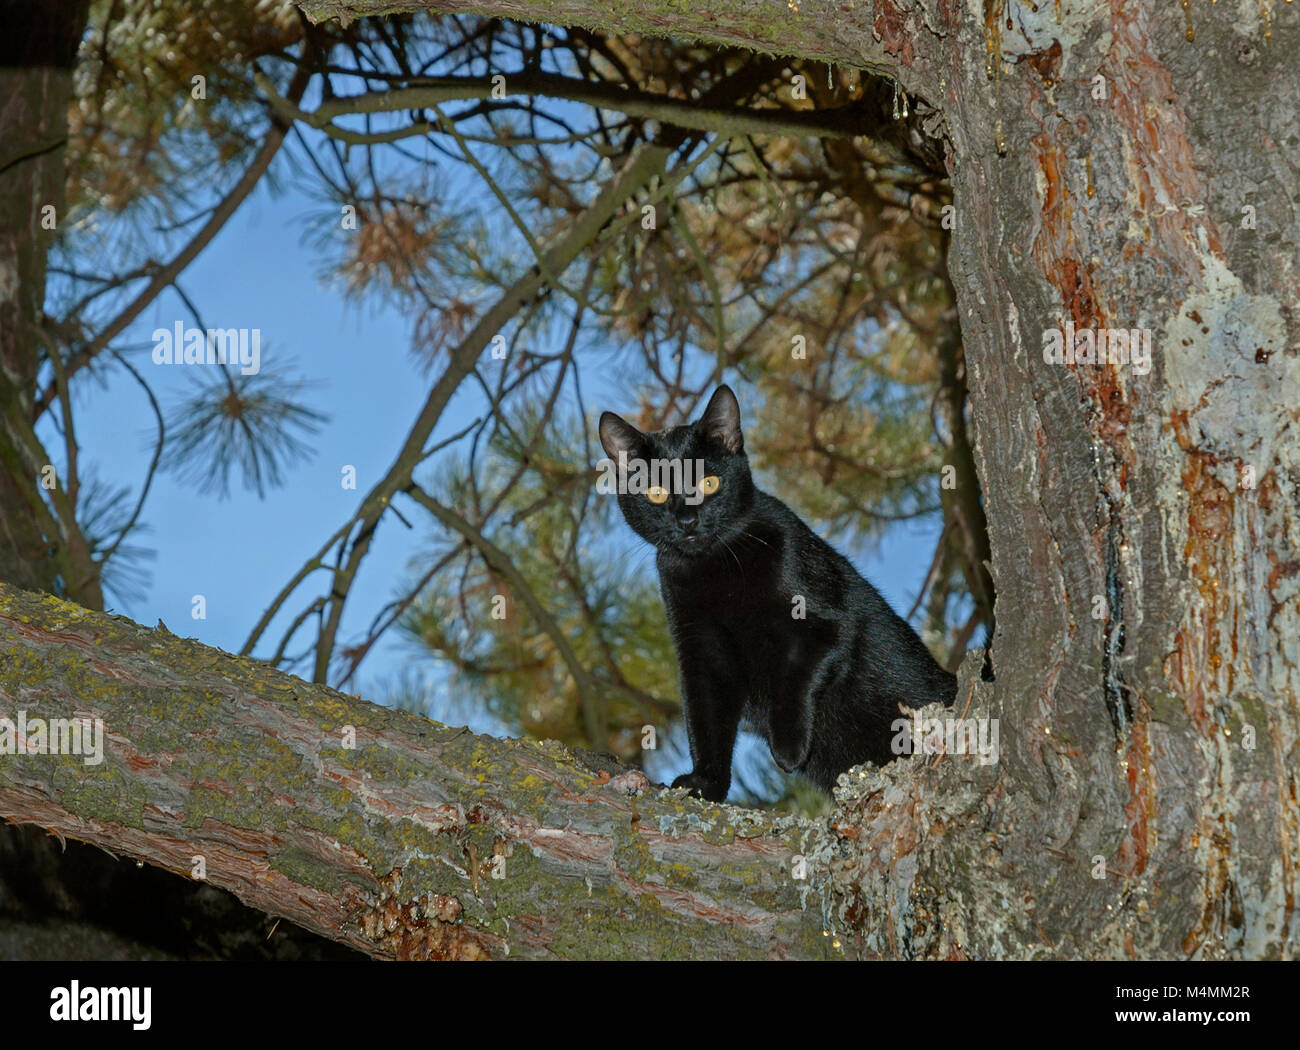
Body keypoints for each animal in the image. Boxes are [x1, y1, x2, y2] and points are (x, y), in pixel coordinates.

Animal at [598, 384, 956, 805]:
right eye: (655, 493)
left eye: (709, 483)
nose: (687, 521)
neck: (714, 572)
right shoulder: (701, 654)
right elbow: (705, 722)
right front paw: (705, 783)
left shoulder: (827, 625)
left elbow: (793, 677)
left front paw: (788, 749)